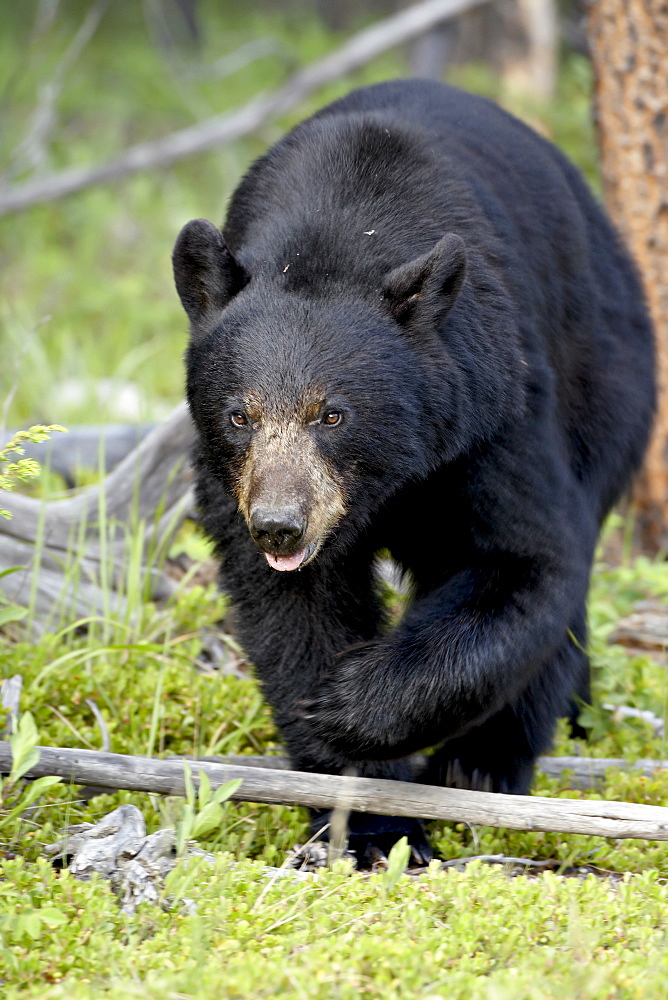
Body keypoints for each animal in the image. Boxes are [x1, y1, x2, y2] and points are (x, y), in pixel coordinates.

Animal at [174, 78, 656, 864]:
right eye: (240, 414)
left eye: (332, 414)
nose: (279, 526)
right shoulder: (232, 484)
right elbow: (292, 612)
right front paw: (368, 818)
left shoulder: (491, 409)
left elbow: (526, 561)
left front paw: (352, 704)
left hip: (608, 377)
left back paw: (486, 764)